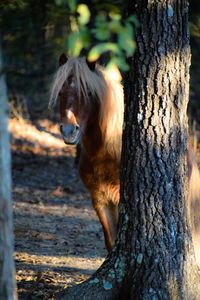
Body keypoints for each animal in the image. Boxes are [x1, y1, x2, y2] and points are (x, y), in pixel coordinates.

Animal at [49, 55, 200, 262]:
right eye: (61, 92)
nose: (69, 130)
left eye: (89, 92)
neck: (106, 153)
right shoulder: (100, 199)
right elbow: (110, 242)